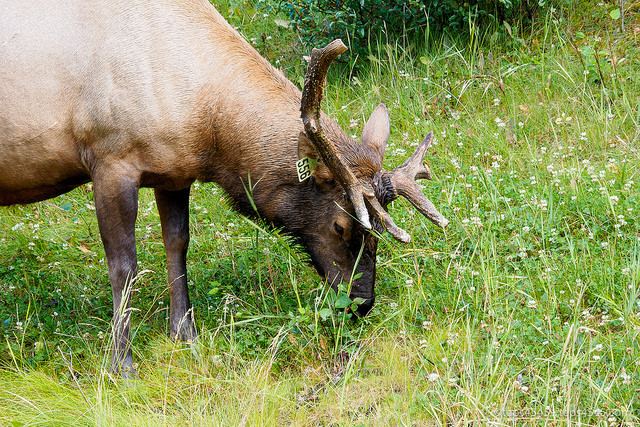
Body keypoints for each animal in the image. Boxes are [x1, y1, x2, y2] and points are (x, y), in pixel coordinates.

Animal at [0, 0, 448, 374]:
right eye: (341, 225)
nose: (362, 302)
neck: (207, 128)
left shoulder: (173, 171)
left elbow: (177, 243)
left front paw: (185, 333)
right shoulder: (109, 159)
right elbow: (124, 266)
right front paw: (122, 363)